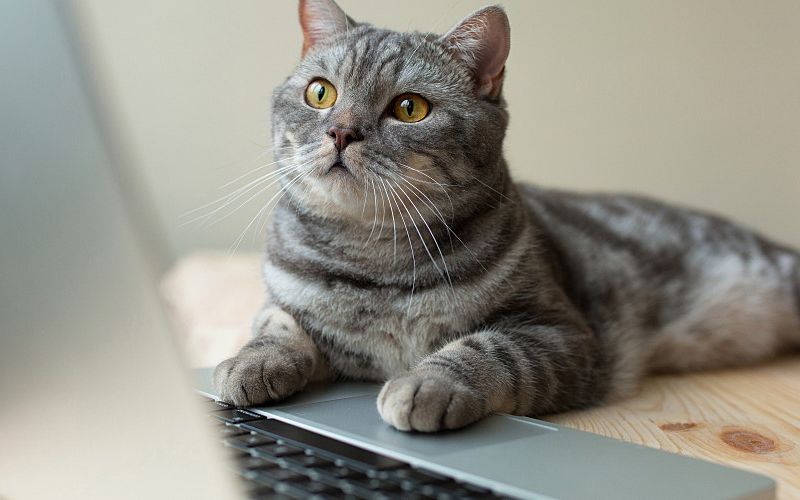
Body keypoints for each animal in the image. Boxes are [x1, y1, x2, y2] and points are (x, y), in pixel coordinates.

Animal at [212, 0, 800, 432]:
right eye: (320, 93)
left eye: (409, 108)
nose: (340, 131)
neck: (377, 261)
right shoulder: (283, 298)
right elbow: (276, 322)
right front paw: (250, 361)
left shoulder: (562, 332)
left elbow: (486, 349)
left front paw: (427, 383)